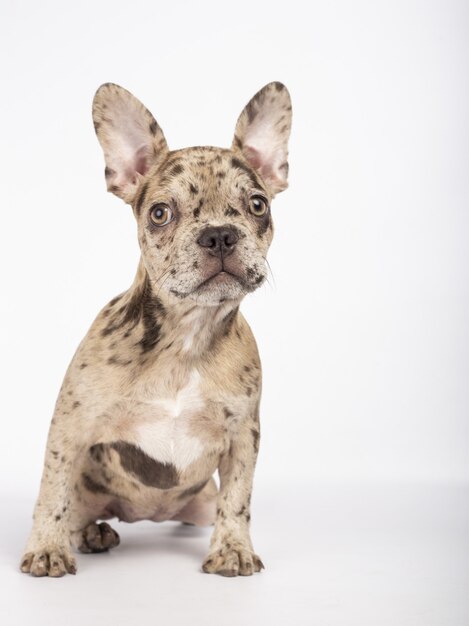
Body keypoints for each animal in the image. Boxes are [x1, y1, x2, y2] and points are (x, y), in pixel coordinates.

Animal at [20, 81, 290, 576]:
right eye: (160, 213)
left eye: (258, 205)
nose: (220, 234)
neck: (187, 333)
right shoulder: (70, 426)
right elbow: (52, 490)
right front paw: (47, 547)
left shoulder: (243, 437)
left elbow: (239, 498)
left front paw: (233, 548)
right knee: (74, 509)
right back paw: (90, 533)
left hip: (200, 502)